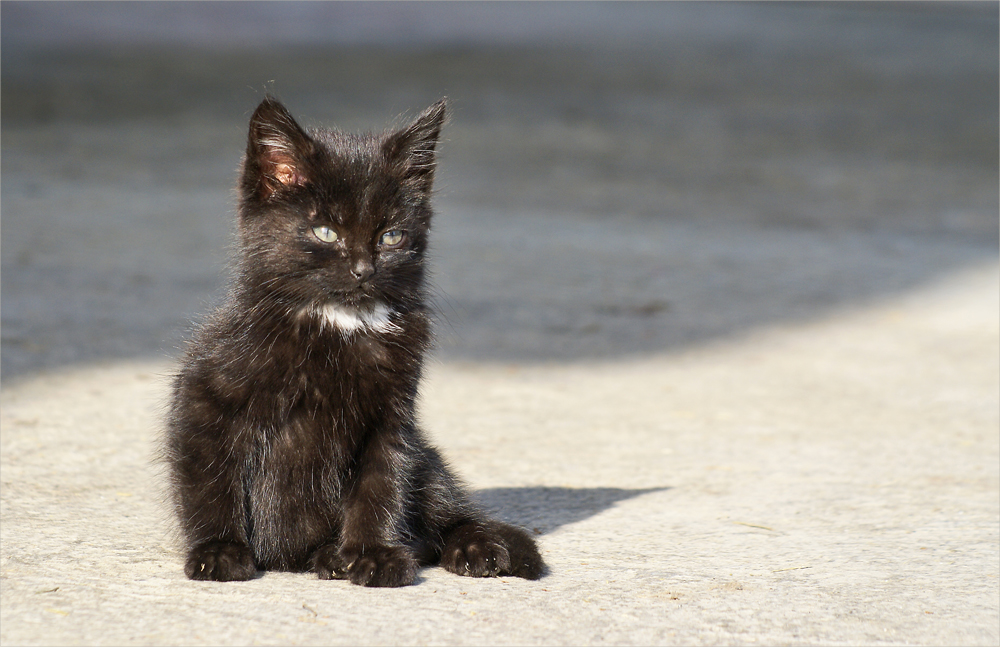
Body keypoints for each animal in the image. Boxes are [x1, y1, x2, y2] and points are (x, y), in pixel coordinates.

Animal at [164, 97, 544, 588]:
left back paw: (474, 547)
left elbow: (380, 485)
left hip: (427, 460)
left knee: (445, 513)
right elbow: (208, 483)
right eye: (326, 232)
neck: (340, 325)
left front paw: (373, 554)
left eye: (390, 236)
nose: (364, 269)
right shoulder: (202, 397)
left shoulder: (392, 419)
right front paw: (218, 551)